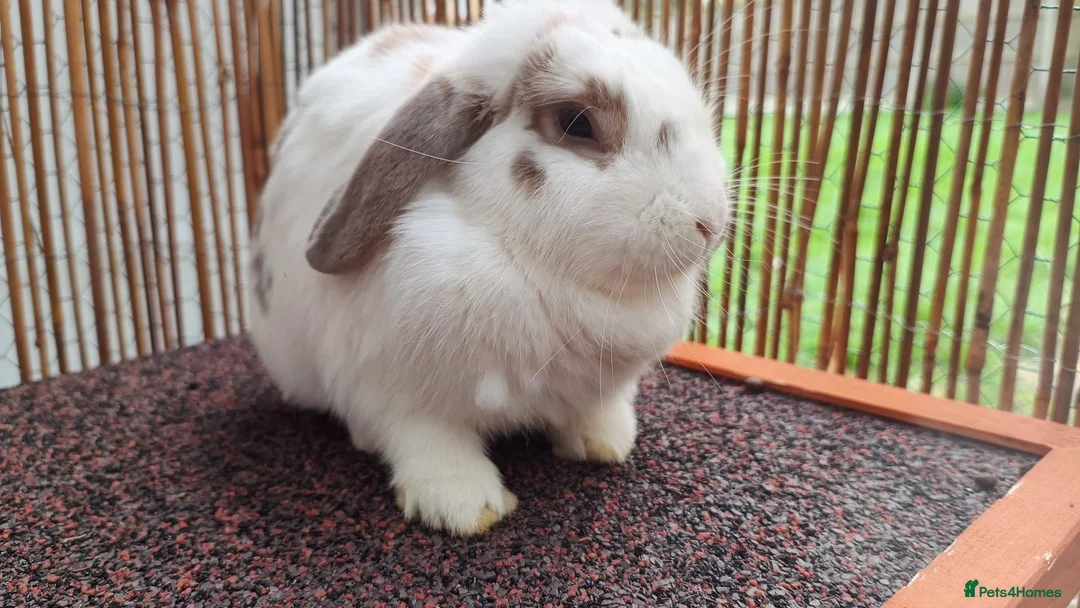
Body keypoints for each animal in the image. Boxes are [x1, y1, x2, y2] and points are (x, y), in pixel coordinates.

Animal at [248, 0, 731, 536]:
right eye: (576, 122)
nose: (710, 222)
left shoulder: (594, 388)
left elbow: (592, 412)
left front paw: (604, 444)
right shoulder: (398, 396)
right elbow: (431, 444)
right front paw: (466, 509)